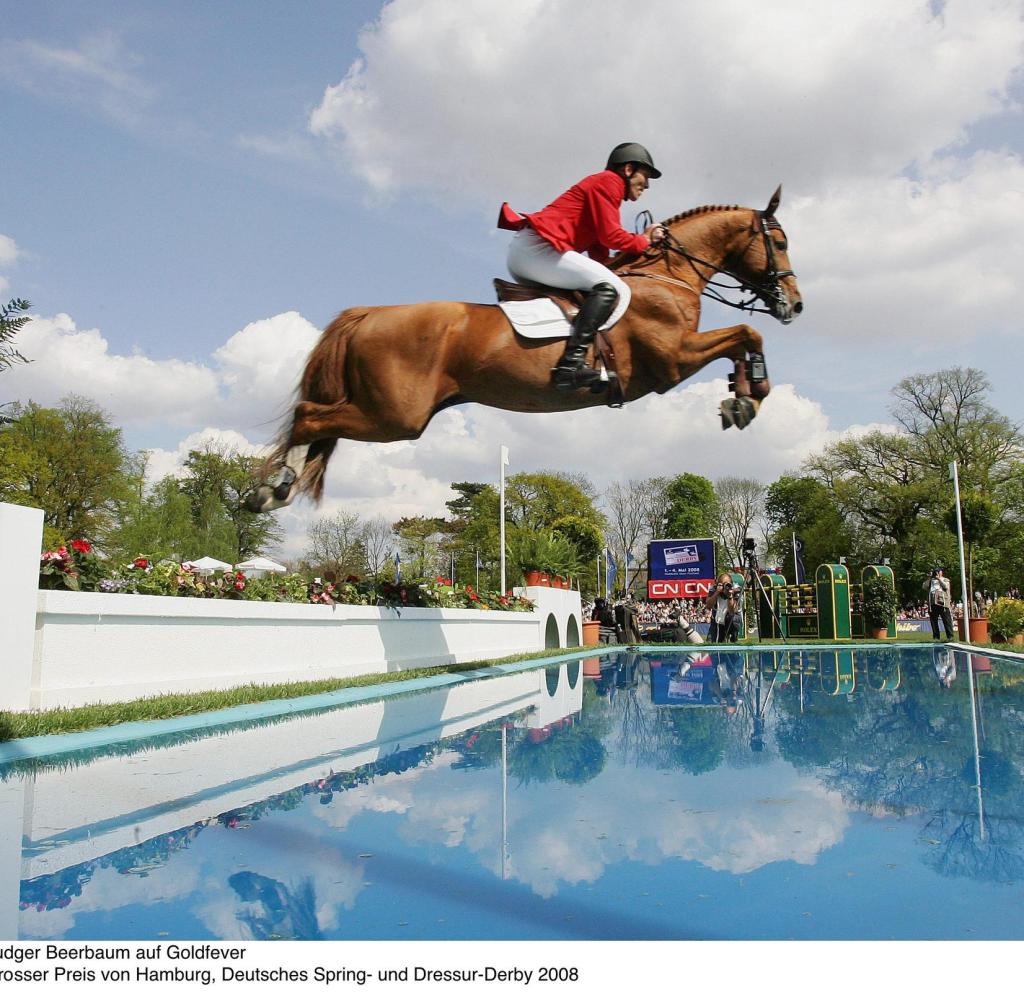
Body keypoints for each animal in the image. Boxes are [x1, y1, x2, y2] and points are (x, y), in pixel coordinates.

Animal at [245, 184, 798, 511]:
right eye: (781, 243)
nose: (795, 304)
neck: (667, 275)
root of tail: (369, 313)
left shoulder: (680, 355)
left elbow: (744, 339)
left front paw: (740, 395)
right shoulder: (672, 361)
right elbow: (746, 334)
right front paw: (749, 395)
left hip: (391, 413)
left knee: (318, 421)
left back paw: (278, 489)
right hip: (395, 417)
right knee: (308, 415)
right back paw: (269, 488)